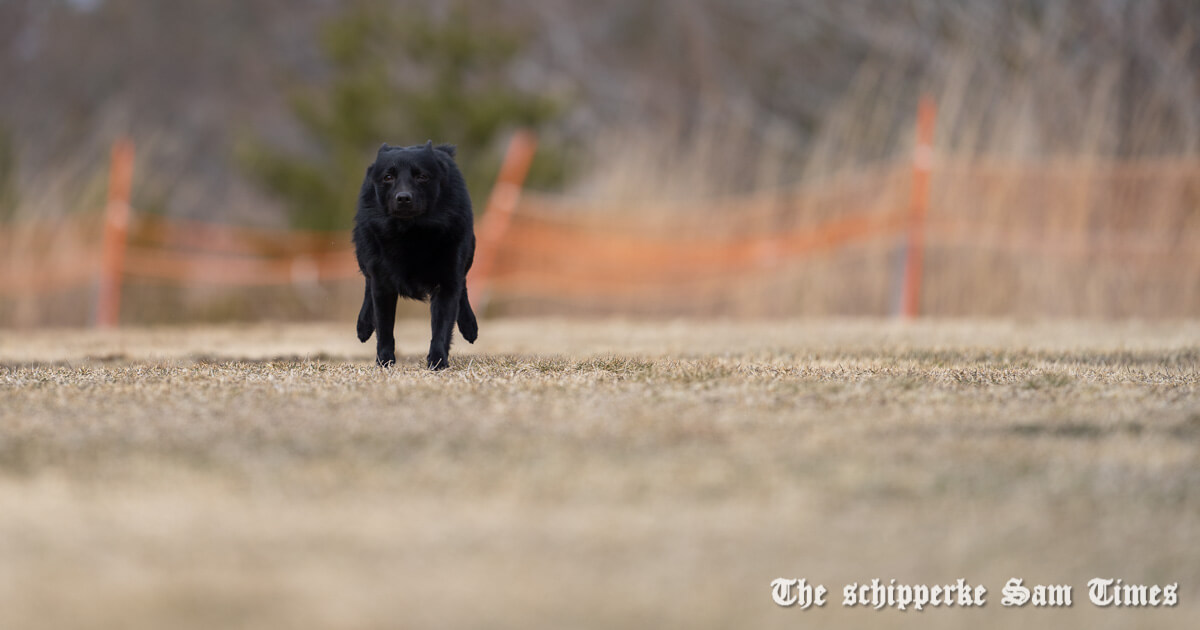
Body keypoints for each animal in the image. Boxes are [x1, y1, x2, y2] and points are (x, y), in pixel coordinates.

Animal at [350, 141, 477, 369]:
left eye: (422, 176)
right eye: (388, 177)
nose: (403, 198)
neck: (410, 234)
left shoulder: (446, 281)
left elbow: (441, 328)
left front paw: (437, 360)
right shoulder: (382, 283)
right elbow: (384, 328)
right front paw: (384, 361)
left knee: (463, 285)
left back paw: (469, 325)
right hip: (364, 254)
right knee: (367, 283)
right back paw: (363, 325)